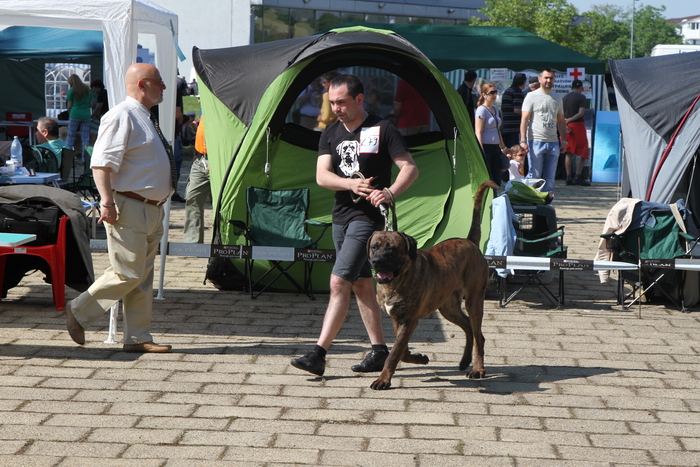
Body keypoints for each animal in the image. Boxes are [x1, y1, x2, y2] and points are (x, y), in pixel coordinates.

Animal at [366, 180, 497, 390]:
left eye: (391, 249)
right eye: (374, 247)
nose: (376, 261)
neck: (395, 282)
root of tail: (469, 242)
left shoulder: (409, 320)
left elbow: (394, 352)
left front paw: (383, 379)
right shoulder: (398, 319)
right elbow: (401, 350)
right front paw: (419, 358)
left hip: (475, 300)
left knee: (478, 335)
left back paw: (478, 369)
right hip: (448, 307)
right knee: (469, 327)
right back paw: (464, 361)